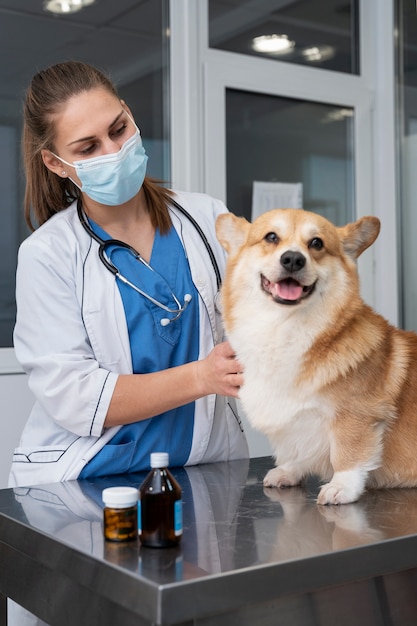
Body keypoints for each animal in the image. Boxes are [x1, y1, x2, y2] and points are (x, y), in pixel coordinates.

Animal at [216, 208, 416, 502]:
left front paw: (341, 487)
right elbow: (298, 450)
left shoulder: (355, 415)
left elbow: (347, 452)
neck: (285, 327)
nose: (292, 259)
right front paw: (288, 471)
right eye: (271, 237)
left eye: (317, 243)